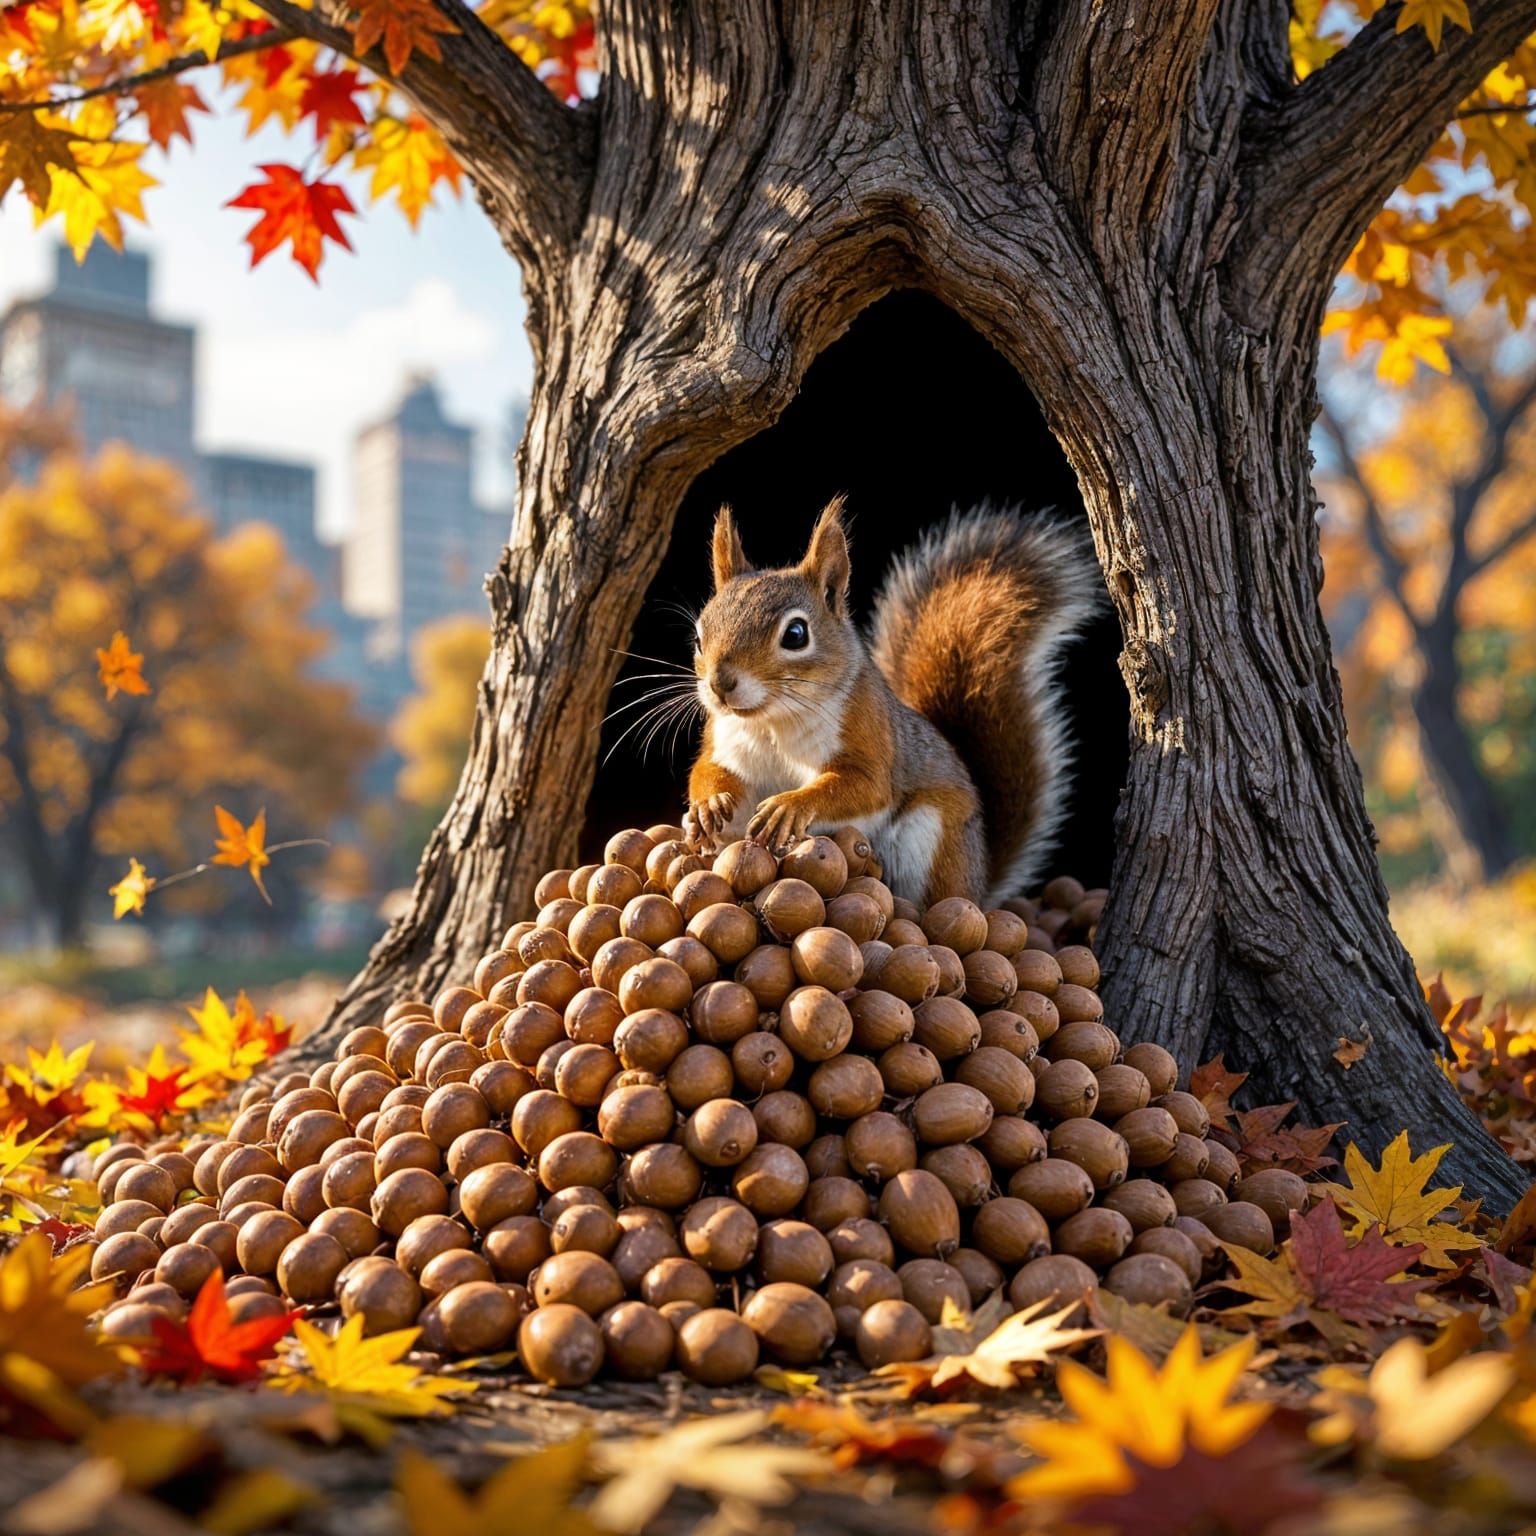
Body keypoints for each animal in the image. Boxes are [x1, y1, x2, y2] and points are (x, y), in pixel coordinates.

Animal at [683, 497, 1100, 907]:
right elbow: (708, 769)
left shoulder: (867, 729)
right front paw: (707, 805)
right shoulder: (726, 740)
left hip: (932, 834)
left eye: (796, 634)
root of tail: (979, 881)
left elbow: (864, 786)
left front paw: (790, 806)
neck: (773, 721)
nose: (720, 684)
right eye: (699, 636)